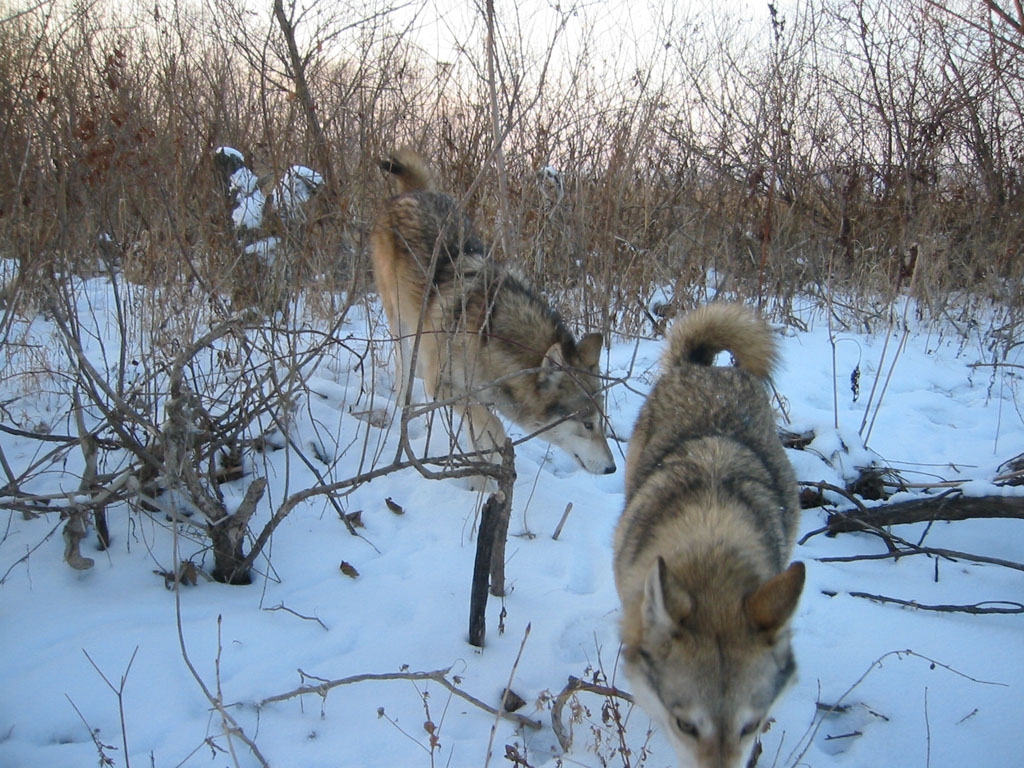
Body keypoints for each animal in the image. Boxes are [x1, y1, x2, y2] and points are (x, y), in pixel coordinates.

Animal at [374, 147, 614, 479]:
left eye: (601, 422)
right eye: (587, 424)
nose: (613, 468)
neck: (489, 338)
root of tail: (416, 192)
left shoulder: (476, 397)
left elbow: (478, 435)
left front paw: (483, 479)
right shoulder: (443, 385)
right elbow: (495, 427)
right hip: (399, 318)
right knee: (402, 360)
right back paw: (401, 401)